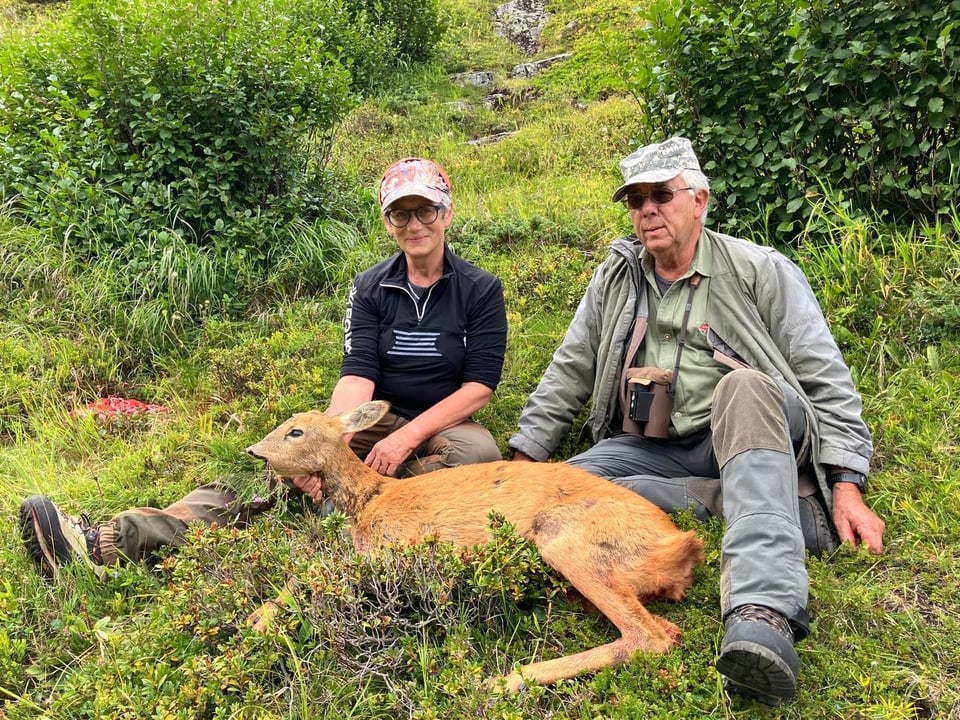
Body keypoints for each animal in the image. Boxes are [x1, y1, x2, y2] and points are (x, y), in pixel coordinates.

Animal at [244, 404, 700, 692]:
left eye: (296, 431)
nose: (253, 451)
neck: (367, 501)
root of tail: (681, 548)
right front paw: (259, 614)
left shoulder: (395, 548)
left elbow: (316, 573)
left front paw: (259, 621)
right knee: (665, 629)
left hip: (568, 538)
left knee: (648, 637)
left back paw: (505, 681)